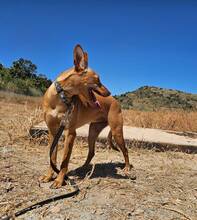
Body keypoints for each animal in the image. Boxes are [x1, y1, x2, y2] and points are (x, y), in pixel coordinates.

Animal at [40, 45, 133, 189]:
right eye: (98, 79)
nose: (109, 92)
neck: (61, 97)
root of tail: (115, 101)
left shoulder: (70, 133)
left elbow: (65, 160)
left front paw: (59, 180)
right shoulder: (52, 132)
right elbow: (53, 157)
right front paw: (49, 176)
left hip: (117, 131)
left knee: (126, 150)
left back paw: (127, 167)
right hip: (92, 131)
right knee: (91, 152)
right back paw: (83, 167)